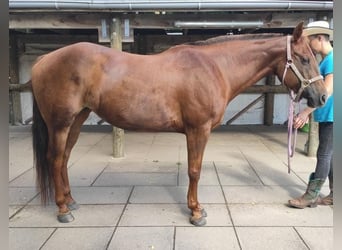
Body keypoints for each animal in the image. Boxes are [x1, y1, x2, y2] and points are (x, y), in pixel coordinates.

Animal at [31, 22, 326, 226]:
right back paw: (63, 209)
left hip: (77, 119)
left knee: (64, 158)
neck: (215, 67)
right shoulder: (198, 130)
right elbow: (194, 170)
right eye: (304, 58)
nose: (322, 96)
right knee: (55, 159)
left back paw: (71, 201)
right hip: (60, 123)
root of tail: (43, 59)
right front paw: (196, 212)